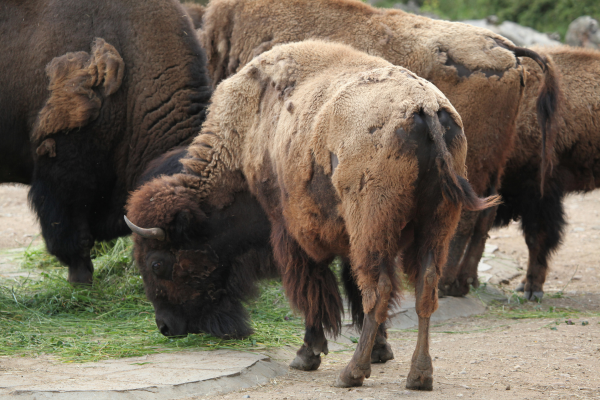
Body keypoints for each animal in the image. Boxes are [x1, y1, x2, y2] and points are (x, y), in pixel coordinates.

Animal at [125, 42, 496, 390]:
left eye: (157, 263)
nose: (166, 326)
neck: (248, 134)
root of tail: (426, 107)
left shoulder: (292, 234)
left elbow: (313, 292)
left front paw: (307, 354)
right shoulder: (348, 240)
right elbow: (346, 288)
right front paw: (381, 351)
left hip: (373, 226)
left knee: (378, 291)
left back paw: (352, 373)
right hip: (434, 228)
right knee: (423, 291)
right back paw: (419, 375)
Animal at [197, 0, 564, 296]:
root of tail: (508, 49)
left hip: (472, 162)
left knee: (466, 220)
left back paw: (448, 285)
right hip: (490, 162)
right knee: (483, 215)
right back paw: (464, 282)